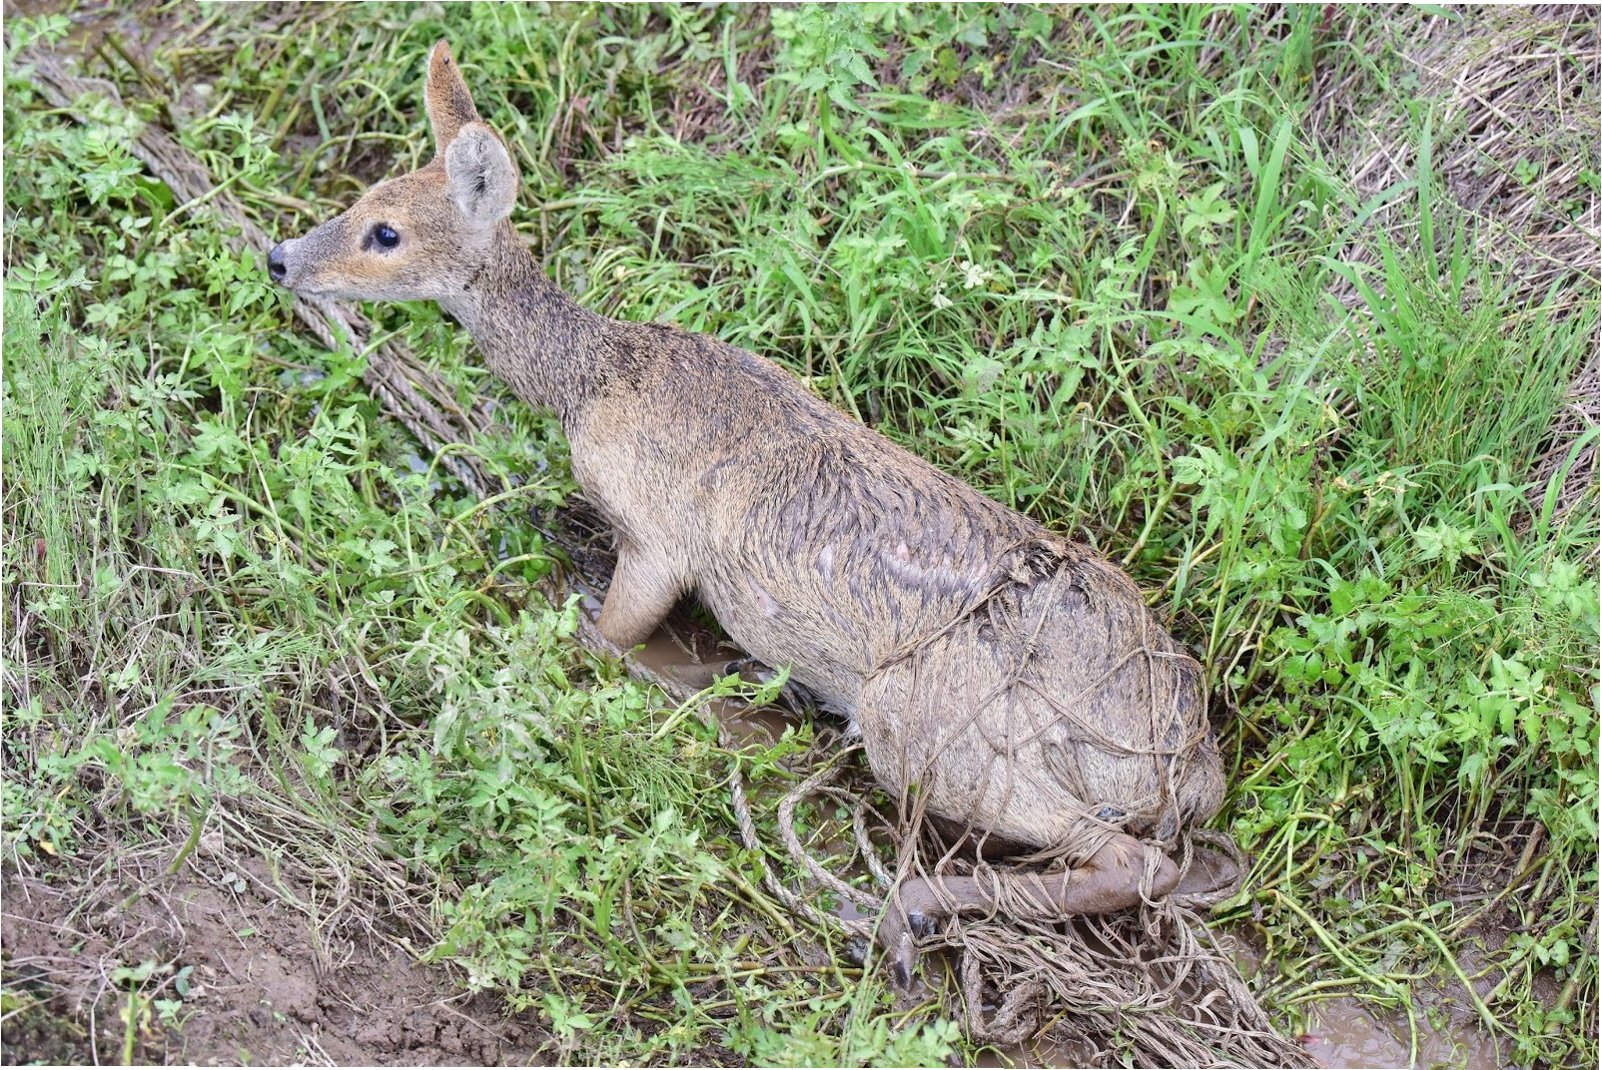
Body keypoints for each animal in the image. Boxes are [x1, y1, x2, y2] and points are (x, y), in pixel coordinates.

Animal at [267, 40, 1226, 986]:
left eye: (385, 233)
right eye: (361, 198)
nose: (280, 257)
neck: (592, 379)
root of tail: (1188, 760)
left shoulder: (659, 539)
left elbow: (608, 636)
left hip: (932, 728)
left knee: (1134, 860)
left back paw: (900, 910)